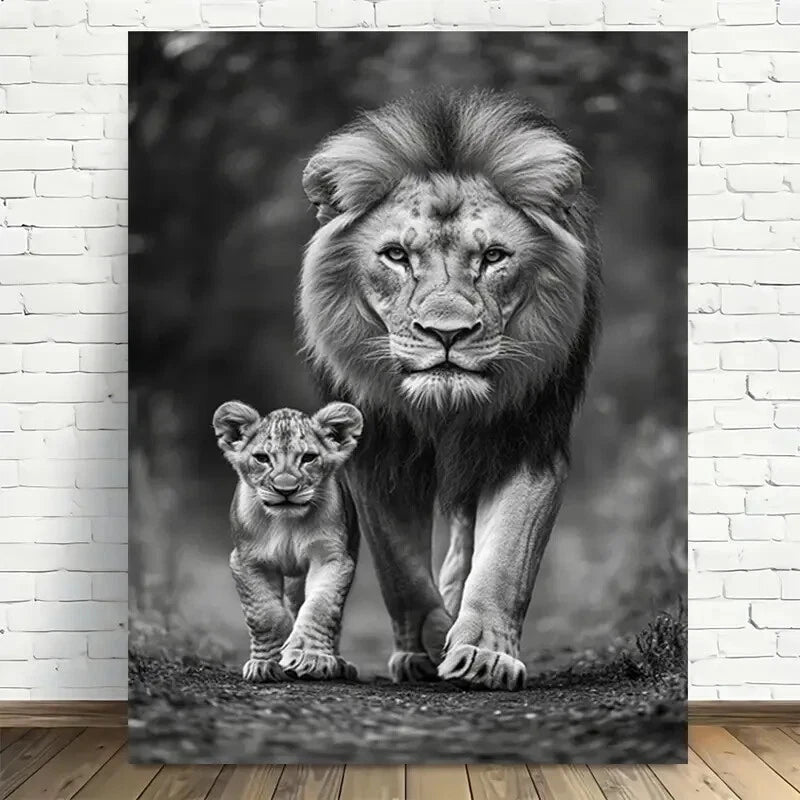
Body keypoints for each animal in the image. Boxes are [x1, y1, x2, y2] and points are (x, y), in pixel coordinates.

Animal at [213, 400, 363, 682]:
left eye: (308, 458)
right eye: (262, 458)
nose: (285, 490)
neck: (286, 523)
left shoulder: (332, 557)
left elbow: (321, 607)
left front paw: (311, 657)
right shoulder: (246, 561)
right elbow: (265, 616)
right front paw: (266, 664)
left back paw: (339, 664)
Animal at [299, 89, 601, 690]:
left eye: (493, 257)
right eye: (396, 255)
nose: (446, 333)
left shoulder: (525, 441)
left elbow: (505, 557)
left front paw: (481, 650)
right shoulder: (377, 451)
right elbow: (398, 567)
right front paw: (426, 641)